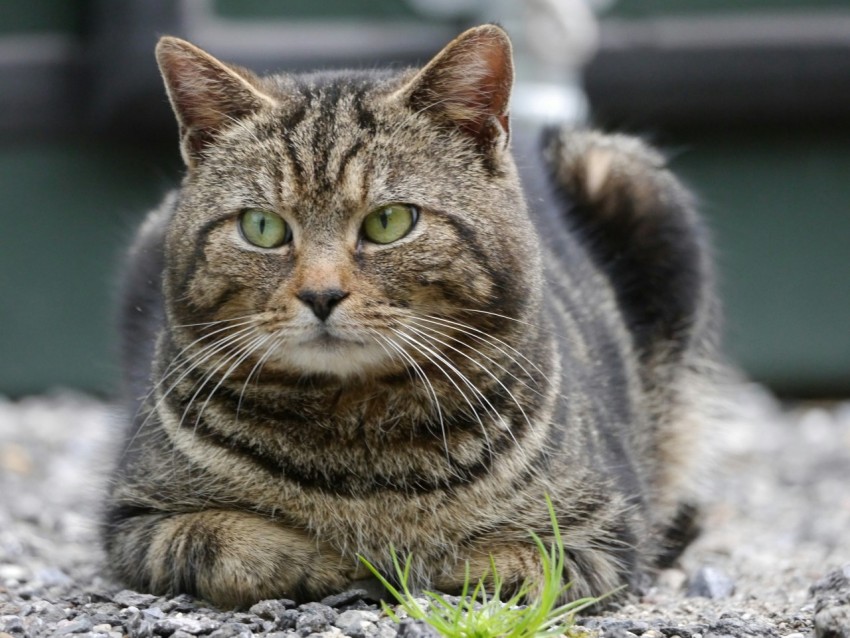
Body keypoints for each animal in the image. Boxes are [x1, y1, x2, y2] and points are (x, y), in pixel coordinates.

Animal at [99, 22, 724, 608]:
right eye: (262, 227)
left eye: (389, 222)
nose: (321, 295)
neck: (357, 437)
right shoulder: (137, 516)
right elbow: (225, 544)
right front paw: (336, 561)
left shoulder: (605, 531)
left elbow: (513, 562)